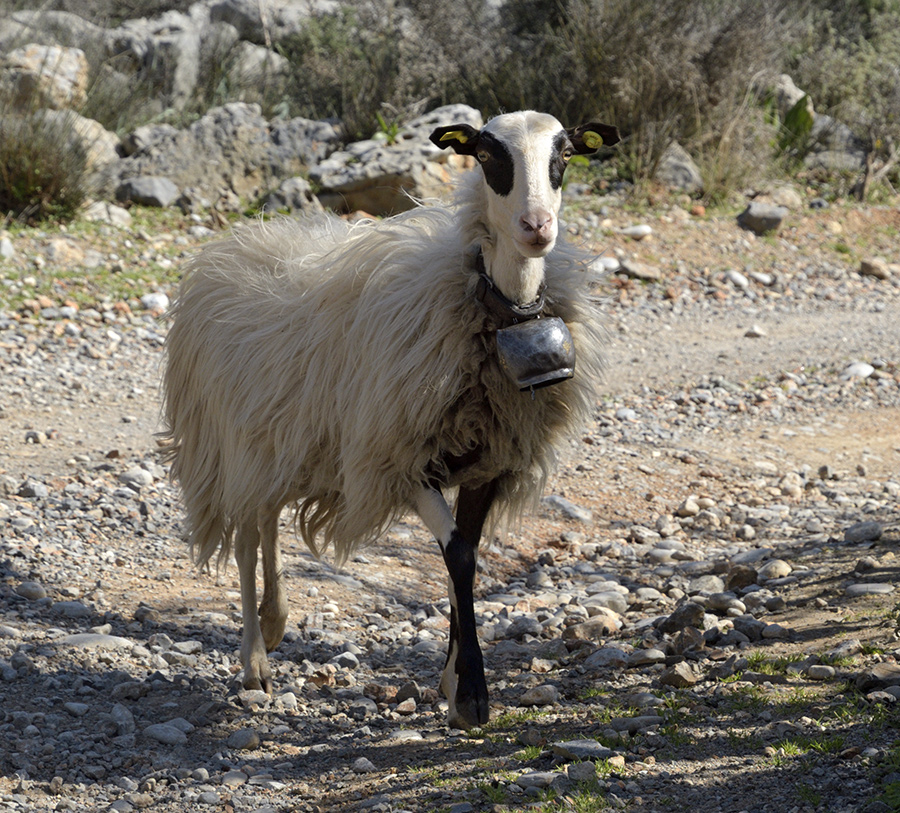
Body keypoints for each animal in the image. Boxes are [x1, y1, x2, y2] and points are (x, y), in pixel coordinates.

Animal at [162, 109, 620, 728]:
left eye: (566, 154)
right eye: (486, 156)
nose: (537, 227)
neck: (492, 304)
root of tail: (242, 240)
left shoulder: (485, 466)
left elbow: (462, 556)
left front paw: (454, 683)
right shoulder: (401, 462)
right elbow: (458, 555)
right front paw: (472, 696)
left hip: (287, 433)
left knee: (267, 519)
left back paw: (276, 621)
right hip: (237, 439)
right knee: (248, 535)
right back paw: (255, 659)